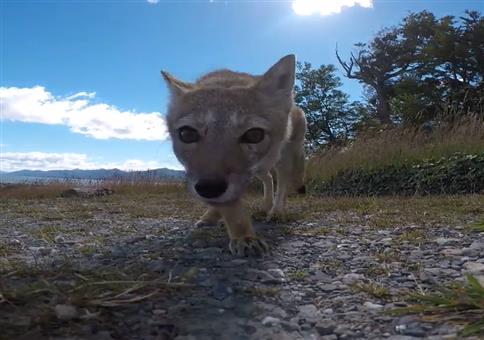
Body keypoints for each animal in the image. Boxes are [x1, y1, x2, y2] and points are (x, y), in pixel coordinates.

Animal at [162, 53, 306, 255]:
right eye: (187, 134)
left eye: (254, 135)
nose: (209, 188)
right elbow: (231, 208)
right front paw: (242, 235)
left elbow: (280, 189)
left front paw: (250, 233)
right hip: (260, 169)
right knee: (268, 178)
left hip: (282, 159)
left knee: (280, 182)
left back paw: (274, 211)